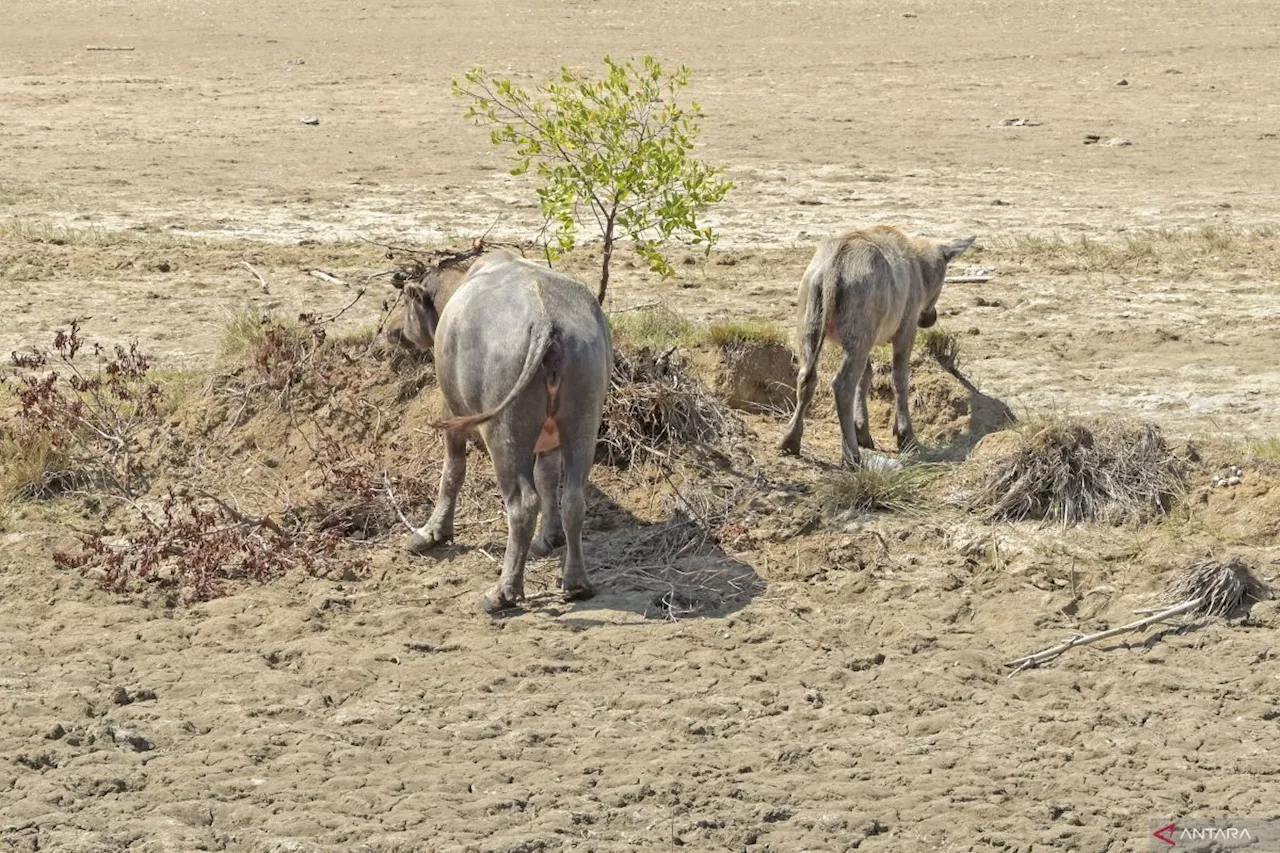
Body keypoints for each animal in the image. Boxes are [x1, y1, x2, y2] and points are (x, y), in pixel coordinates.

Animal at [391, 245, 611, 612]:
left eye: (406, 303)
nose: (391, 332)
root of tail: (547, 322)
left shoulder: (451, 410)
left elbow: (452, 471)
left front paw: (432, 532)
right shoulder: (550, 439)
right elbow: (548, 478)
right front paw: (549, 539)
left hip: (505, 435)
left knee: (522, 505)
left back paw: (503, 592)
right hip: (582, 425)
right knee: (573, 500)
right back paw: (576, 583)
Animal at [773, 224, 972, 466]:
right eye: (943, 279)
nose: (930, 318)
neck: (918, 269)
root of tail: (833, 268)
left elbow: (866, 377)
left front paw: (862, 429)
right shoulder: (906, 329)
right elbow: (899, 379)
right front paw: (905, 435)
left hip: (814, 328)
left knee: (807, 378)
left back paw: (790, 440)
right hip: (858, 338)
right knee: (842, 385)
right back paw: (851, 454)